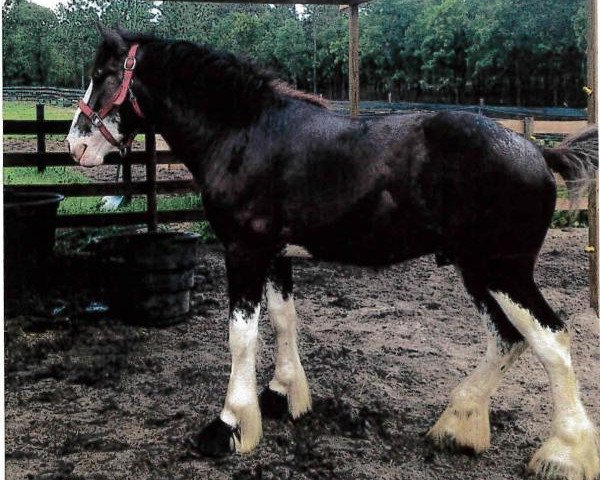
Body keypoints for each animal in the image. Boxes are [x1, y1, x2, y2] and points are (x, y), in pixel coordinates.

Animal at [67, 27, 600, 480]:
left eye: (103, 75)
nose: (75, 145)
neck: (242, 132)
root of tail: (537, 152)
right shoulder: (274, 252)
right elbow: (284, 319)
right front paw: (283, 396)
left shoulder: (243, 250)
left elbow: (242, 336)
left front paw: (230, 426)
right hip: (477, 271)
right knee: (507, 338)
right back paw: (457, 425)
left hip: (503, 271)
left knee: (552, 340)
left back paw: (563, 455)